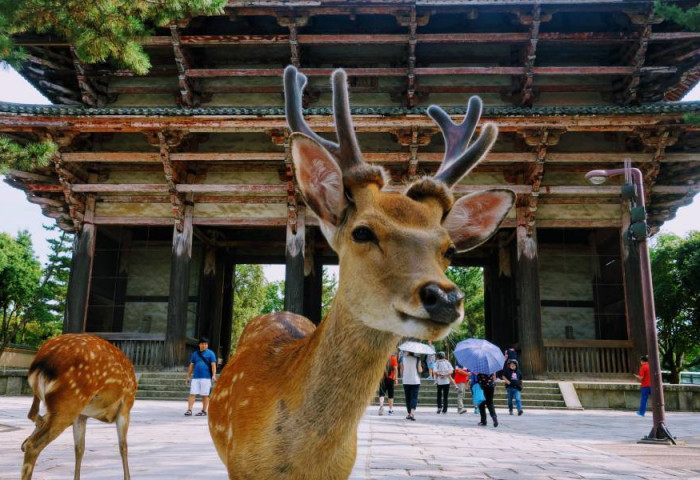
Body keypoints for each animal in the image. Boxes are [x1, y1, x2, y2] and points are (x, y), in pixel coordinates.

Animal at [20, 334, 138, 480]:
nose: (21, 446)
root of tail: (41, 362)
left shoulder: (82, 415)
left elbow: (79, 449)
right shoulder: (126, 406)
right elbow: (123, 447)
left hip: (58, 402)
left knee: (32, 415)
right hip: (69, 401)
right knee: (33, 445)